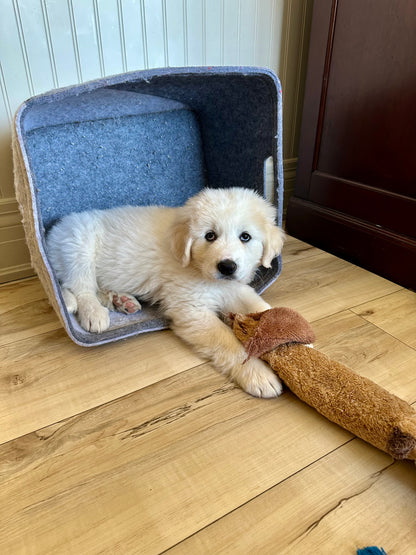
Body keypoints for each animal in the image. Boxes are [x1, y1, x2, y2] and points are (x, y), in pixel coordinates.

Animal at [46, 187, 285, 398]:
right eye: (210, 236)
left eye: (245, 237)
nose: (227, 267)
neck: (198, 269)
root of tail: (54, 232)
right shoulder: (191, 309)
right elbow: (227, 342)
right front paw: (258, 374)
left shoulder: (234, 288)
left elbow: (260, 306)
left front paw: (287, 332)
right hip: (78, 248)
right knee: (80, 288)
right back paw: (93, 314)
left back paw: (122, 300)